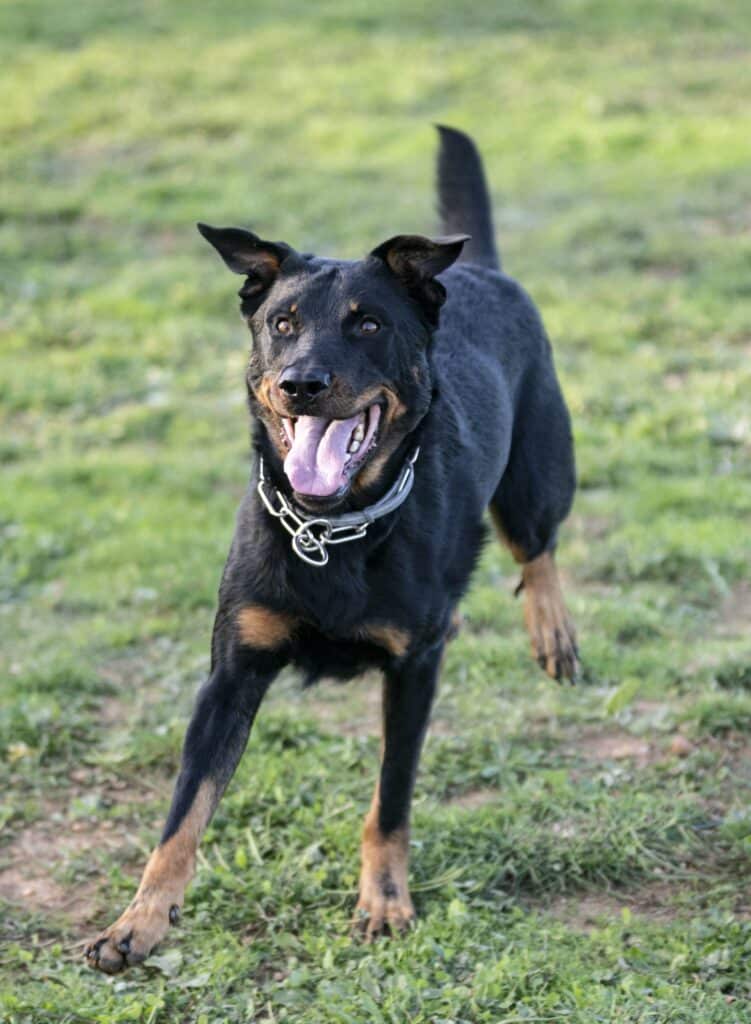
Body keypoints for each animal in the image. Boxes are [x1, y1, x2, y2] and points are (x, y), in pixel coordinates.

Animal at [85, 123, 577, 970]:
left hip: (536, 475)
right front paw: (139, 918)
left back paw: (551, 630)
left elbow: (390, 800)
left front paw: (383, 901)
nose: (301, 383)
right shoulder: (229, 676)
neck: (334, 528)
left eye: (368, 323)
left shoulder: (414, 670)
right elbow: (181, 816)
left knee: (535, 548)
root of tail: (478, 269)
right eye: (281, 323)